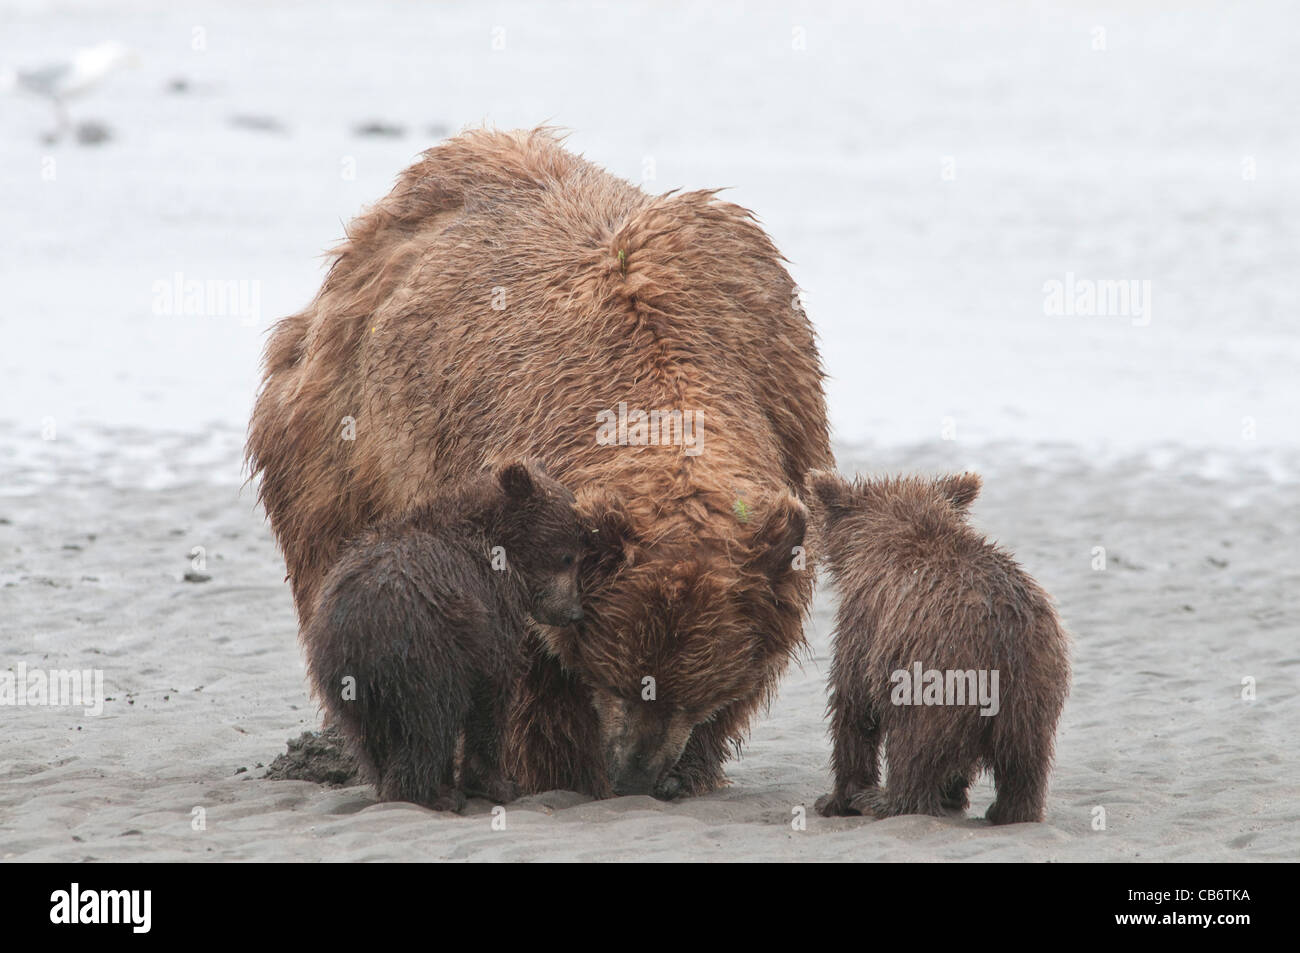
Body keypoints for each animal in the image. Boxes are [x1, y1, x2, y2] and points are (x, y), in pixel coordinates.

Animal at [248, 126, 826, 795]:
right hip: (336, 438)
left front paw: (690, 769)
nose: (636, 772)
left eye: (690, 690)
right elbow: (526, 676)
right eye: (618, 676)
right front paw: (557, 768)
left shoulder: (783, 406)